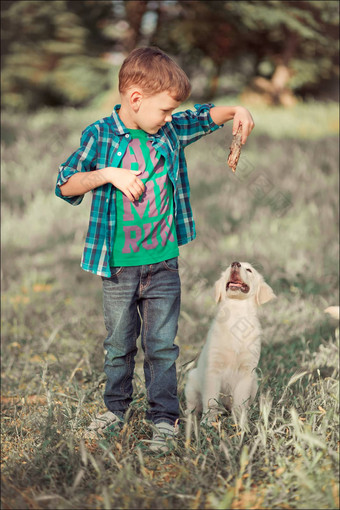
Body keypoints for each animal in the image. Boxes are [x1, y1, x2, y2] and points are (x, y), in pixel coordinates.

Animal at [185, 262, 274, 422]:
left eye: (249, 270)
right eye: (228, 268)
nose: (235, 263)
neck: (237, 315)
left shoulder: (247, 372)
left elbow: (240, 402)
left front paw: (240, 422)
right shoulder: (213, 370)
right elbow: (211, 400)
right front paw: (209, 421)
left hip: (254, 382)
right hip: (192, 381)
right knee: (193, 405)